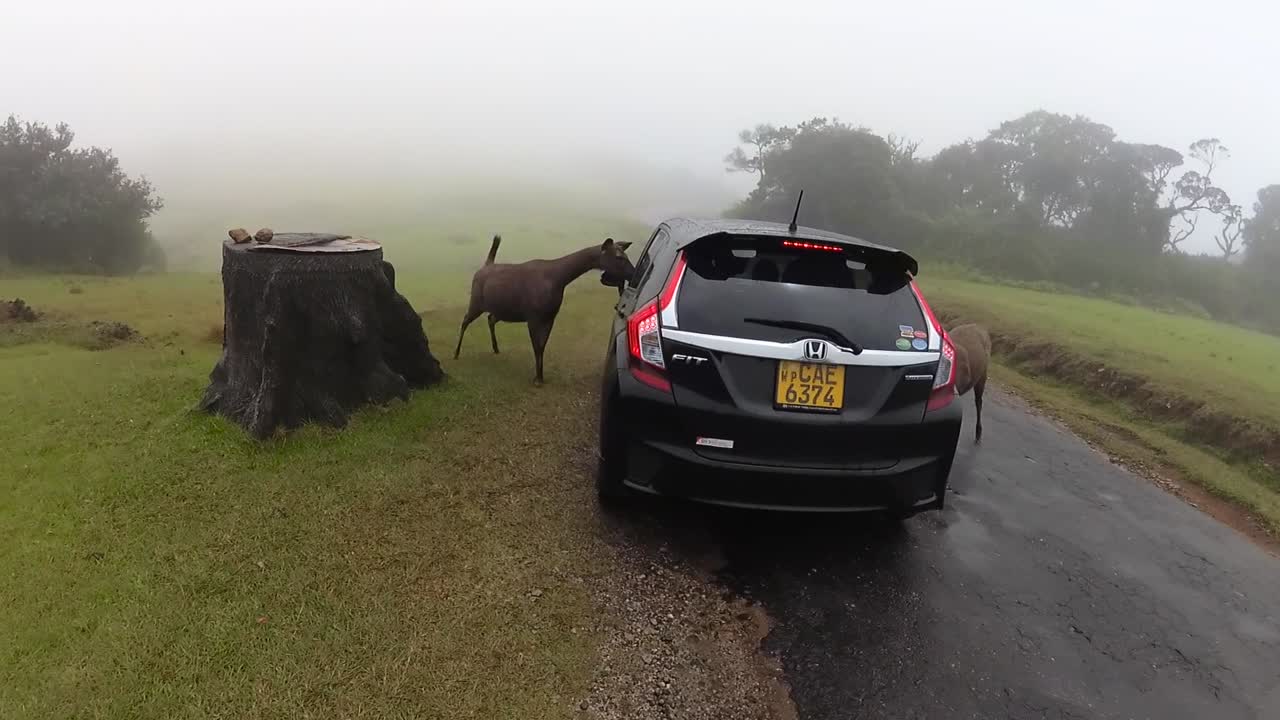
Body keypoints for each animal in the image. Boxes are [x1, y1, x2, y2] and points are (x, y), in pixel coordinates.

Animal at [454, 235, 634, 384]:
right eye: (619, 257)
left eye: (626, 256)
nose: (633, 272)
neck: (559, 280)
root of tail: (485, 265)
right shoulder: (533, 316)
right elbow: (536, 346)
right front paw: (537, 378)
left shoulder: (550, 316)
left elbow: (542, 346)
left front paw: (540, 376)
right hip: (476, 301)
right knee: (465, 320)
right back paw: (456, 353)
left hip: (501, 309)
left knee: (490, 318)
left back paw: (496, 348)